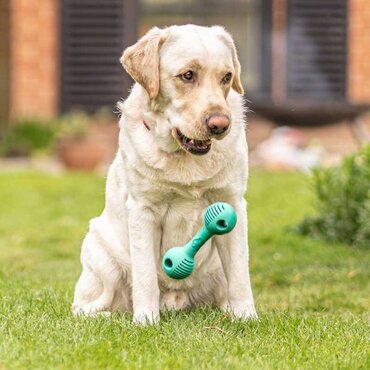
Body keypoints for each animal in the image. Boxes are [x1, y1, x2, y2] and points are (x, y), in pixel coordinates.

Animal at [72, 23, 258, 324]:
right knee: (85, 306)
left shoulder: (232, 203)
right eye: (188, 75)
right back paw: (110, 317)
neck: (184, 158)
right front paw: (145, 322)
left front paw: (247, 318)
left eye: (227, 77)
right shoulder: (143, 210)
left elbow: (240, 274)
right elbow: (145, 275)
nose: (220, 125)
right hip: (100, 252)